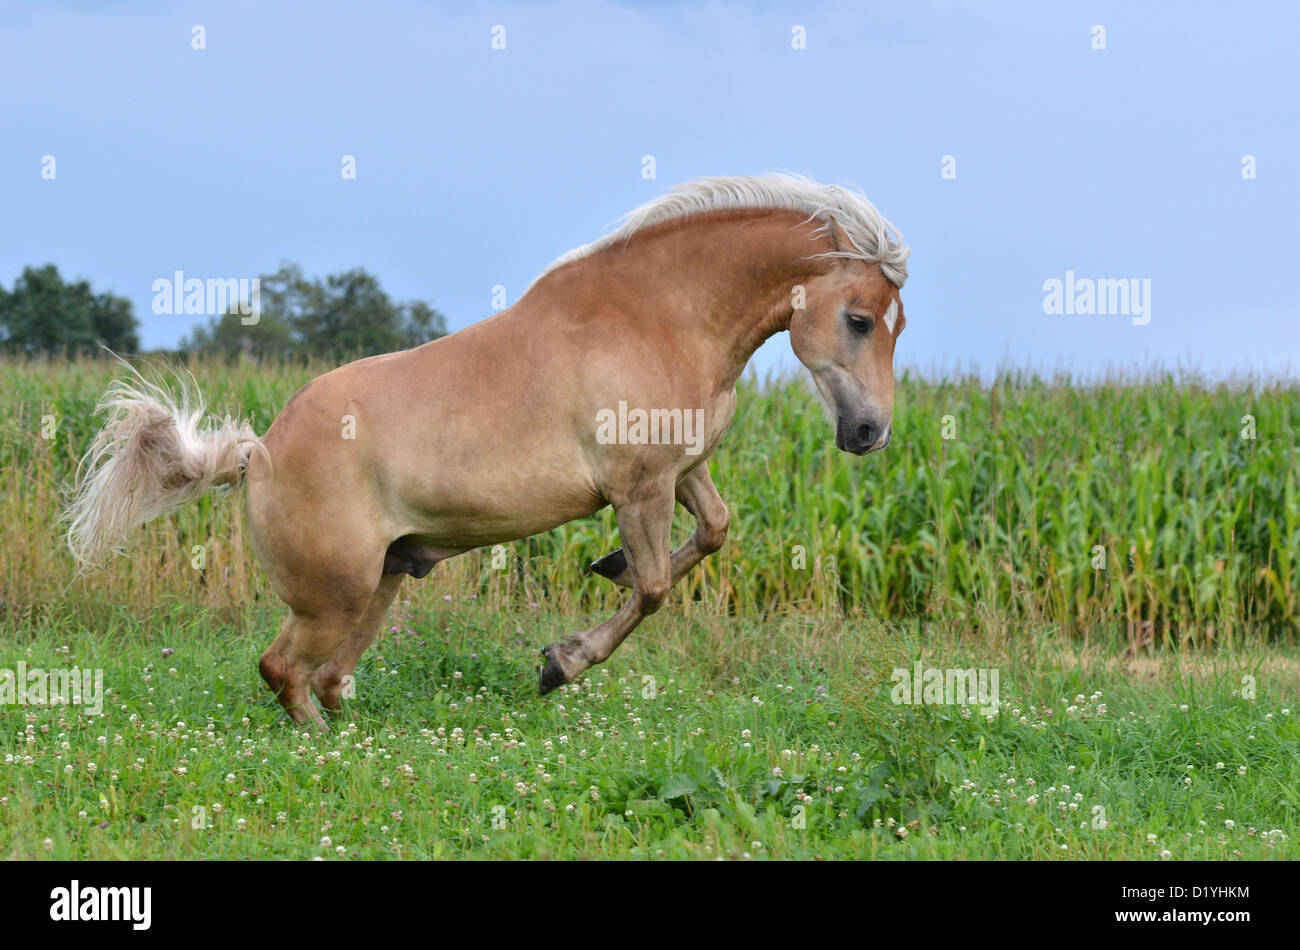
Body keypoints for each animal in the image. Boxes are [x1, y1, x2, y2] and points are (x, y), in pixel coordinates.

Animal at [65, 176, 909, 727]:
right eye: (861, 318)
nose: (870, 433)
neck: (660, 317)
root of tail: (259, 453)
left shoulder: (683, 470)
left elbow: (712, 532)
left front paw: (605, 567)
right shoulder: (638, 488)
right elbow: (654, 588)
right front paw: (559, 663)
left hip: (382, 583)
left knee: (329, 675)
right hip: (334, 593)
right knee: (283, 671)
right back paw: (321, 742)